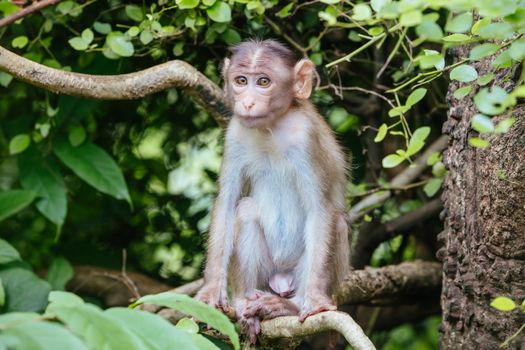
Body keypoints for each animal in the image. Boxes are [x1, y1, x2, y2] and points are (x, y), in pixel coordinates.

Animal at [194, 39, 350, 344]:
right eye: (241, 81)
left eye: (263, 82)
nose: (247, 101)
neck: (271, 127)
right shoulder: (235, 133)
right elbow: (227, 203)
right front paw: (210, 290)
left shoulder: (306, 137)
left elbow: (321, 210)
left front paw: (314, 301)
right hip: (266, 277)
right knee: (245, 211)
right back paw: (245, 305)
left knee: (336, 222)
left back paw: (288, 306)